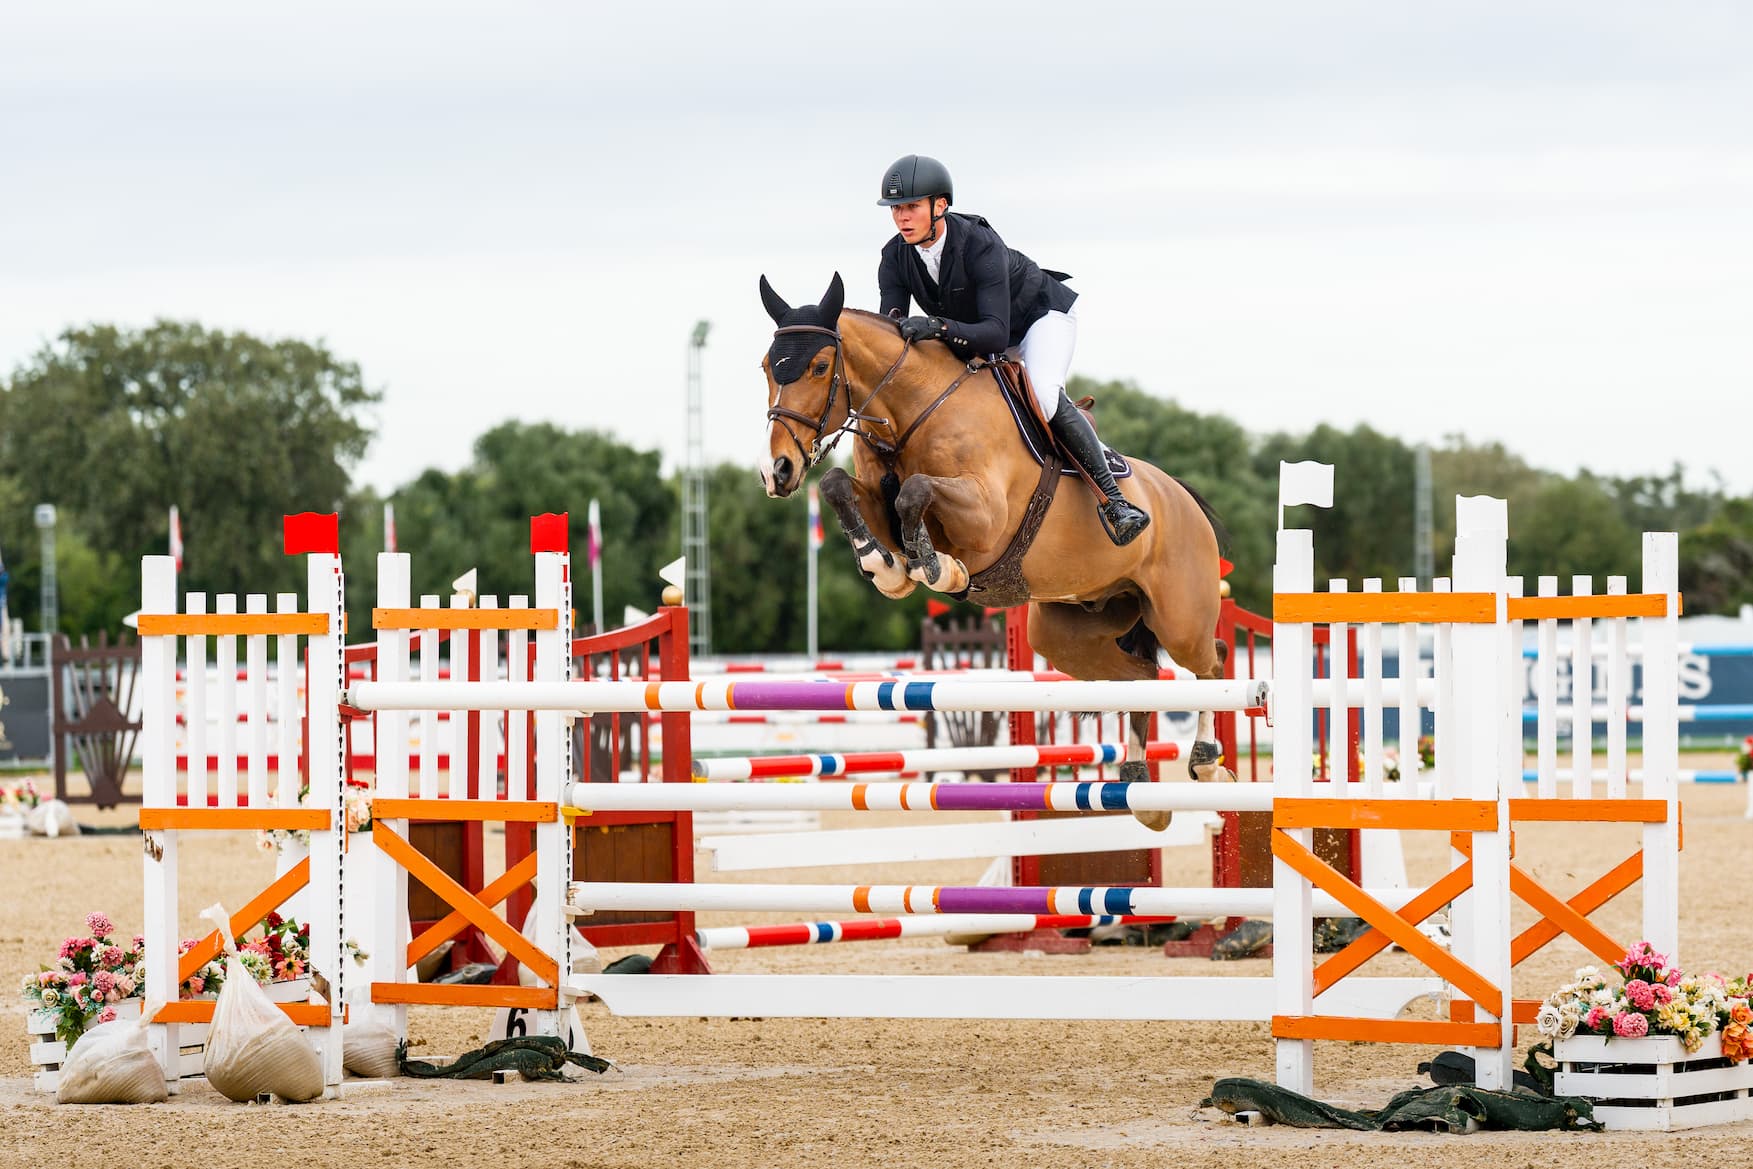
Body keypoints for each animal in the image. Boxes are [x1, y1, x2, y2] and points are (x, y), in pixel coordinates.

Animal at [756, 273, 1236, 821]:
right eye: (766, 366)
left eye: (819, 367)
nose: (778, 471)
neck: (911, 410)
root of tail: (1183, 497)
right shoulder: (874, 494)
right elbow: (842, 486)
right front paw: (887, 566)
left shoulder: (985, 517)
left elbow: (914, 491)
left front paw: (937, 569)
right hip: (1067, 633)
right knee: (1147, 675)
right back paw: (1140, 786)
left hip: (1179, 616)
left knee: (1210, 661)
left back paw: (1207, 764)